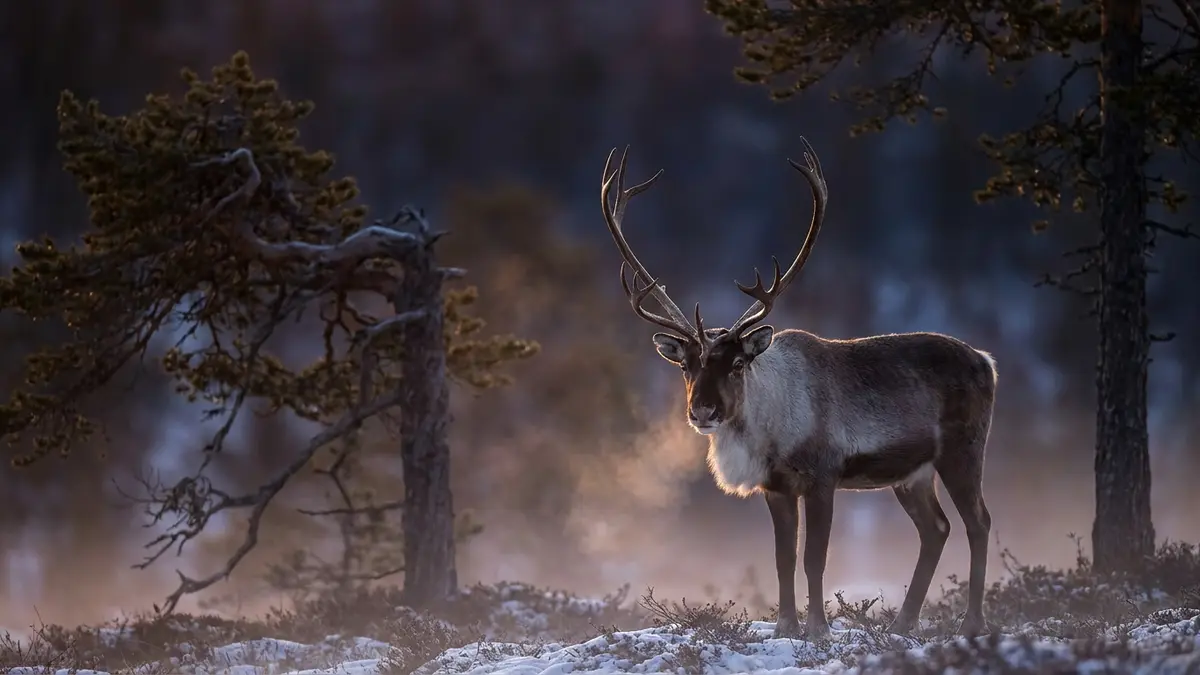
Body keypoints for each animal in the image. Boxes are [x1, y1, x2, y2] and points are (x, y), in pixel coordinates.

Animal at [599, 139, 997, 640]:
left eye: (737, 364)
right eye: (686, 366)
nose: (702, 411)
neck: (770, 432)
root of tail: (986, 361)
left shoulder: (822, 478)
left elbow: (814, 560)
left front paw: (817, 628)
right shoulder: (777, 488)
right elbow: (783, 559)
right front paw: (785, 626)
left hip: (963, 450)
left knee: (978, 522)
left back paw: (972, 623)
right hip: (912, 473)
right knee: (936, 529)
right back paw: (903, 624)